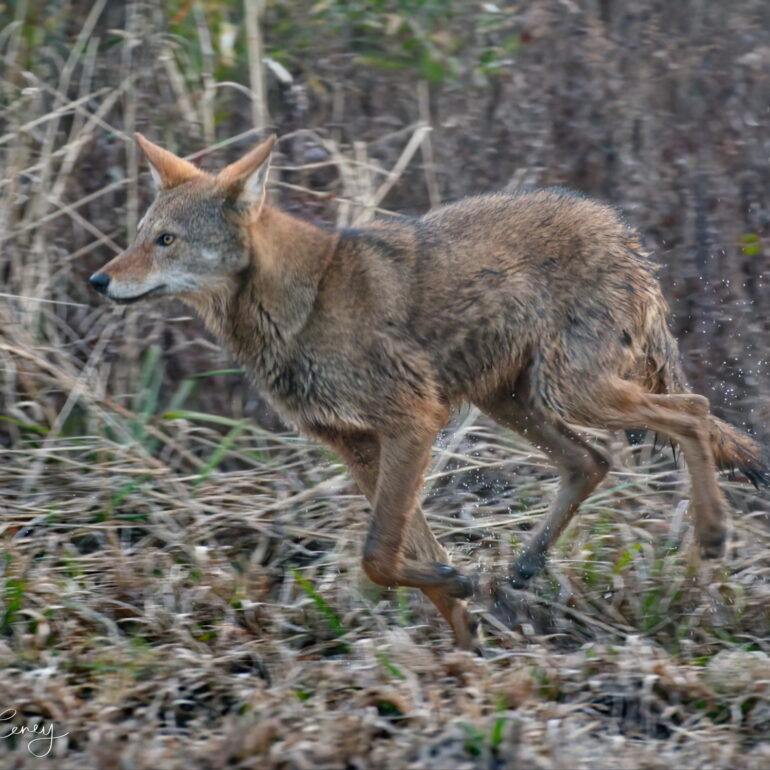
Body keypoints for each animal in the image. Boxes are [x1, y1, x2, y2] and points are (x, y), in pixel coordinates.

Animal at [89, 133, 766, 650]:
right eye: (140, 235)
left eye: (166, 241)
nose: (97, 281)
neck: (299, 307)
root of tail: (624, 235)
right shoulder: (358, 446)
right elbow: (403, 550)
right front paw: (464, 638)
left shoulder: (412, 421)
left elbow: (377, 554)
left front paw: (459, 601)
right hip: (519, 403)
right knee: (593, 460)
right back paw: (526, 567)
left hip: (573, 394)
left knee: (693, 411)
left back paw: (712, 534)